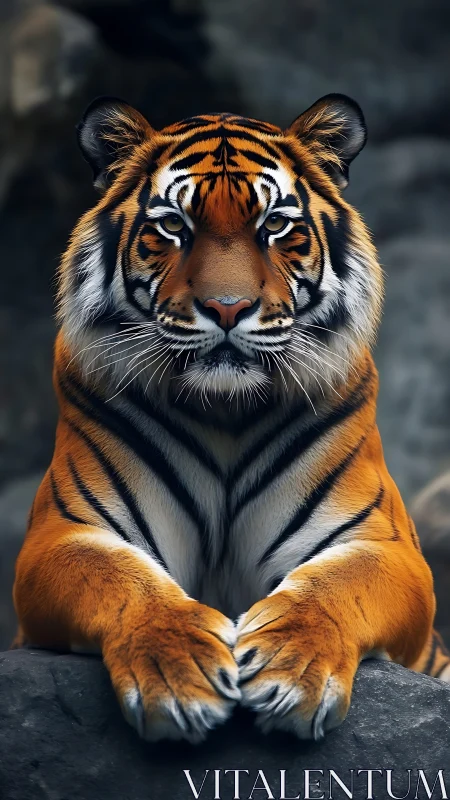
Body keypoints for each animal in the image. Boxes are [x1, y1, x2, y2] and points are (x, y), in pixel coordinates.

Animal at [13, 93, 450, 745]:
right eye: (174, 226)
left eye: (274, 226)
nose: (227, 307)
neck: (225, 411)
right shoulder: (61, 535)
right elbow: (120, 577)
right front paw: (180, 676)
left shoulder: (383, 544)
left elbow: (334, 586)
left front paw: (290, 671)